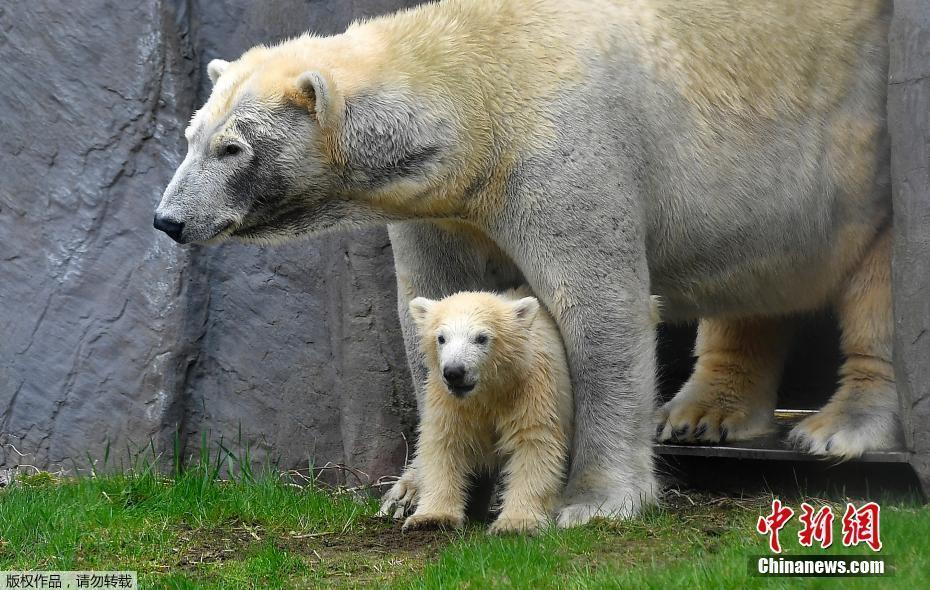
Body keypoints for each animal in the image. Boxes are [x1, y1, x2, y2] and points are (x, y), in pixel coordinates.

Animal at [156, 0, 896, 528]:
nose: (168, 220)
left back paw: (837, 428)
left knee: (876, 291)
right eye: (191, 134)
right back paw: (700, 414)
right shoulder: (443, 204)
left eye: (233, 148)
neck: (477, 89)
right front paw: (410, 489)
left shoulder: (561, 150)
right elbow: (436, 299)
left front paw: (592, 500)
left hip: (863, 151)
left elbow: (601, 309)